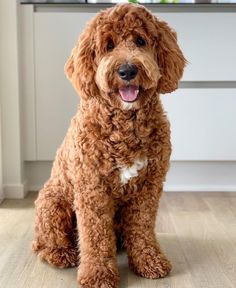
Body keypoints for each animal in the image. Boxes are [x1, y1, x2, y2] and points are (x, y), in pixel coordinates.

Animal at [31, 2, 186, 288]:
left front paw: (149, 261)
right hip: (52, 203)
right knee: (45, 242)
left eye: (140, 41)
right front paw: (98, 274)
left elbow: (142, 227)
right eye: (108, 45)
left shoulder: (148, 187)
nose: (127, 71)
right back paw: (62, 253)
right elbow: (95, 237)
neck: (125, 124)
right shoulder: (92, 190)